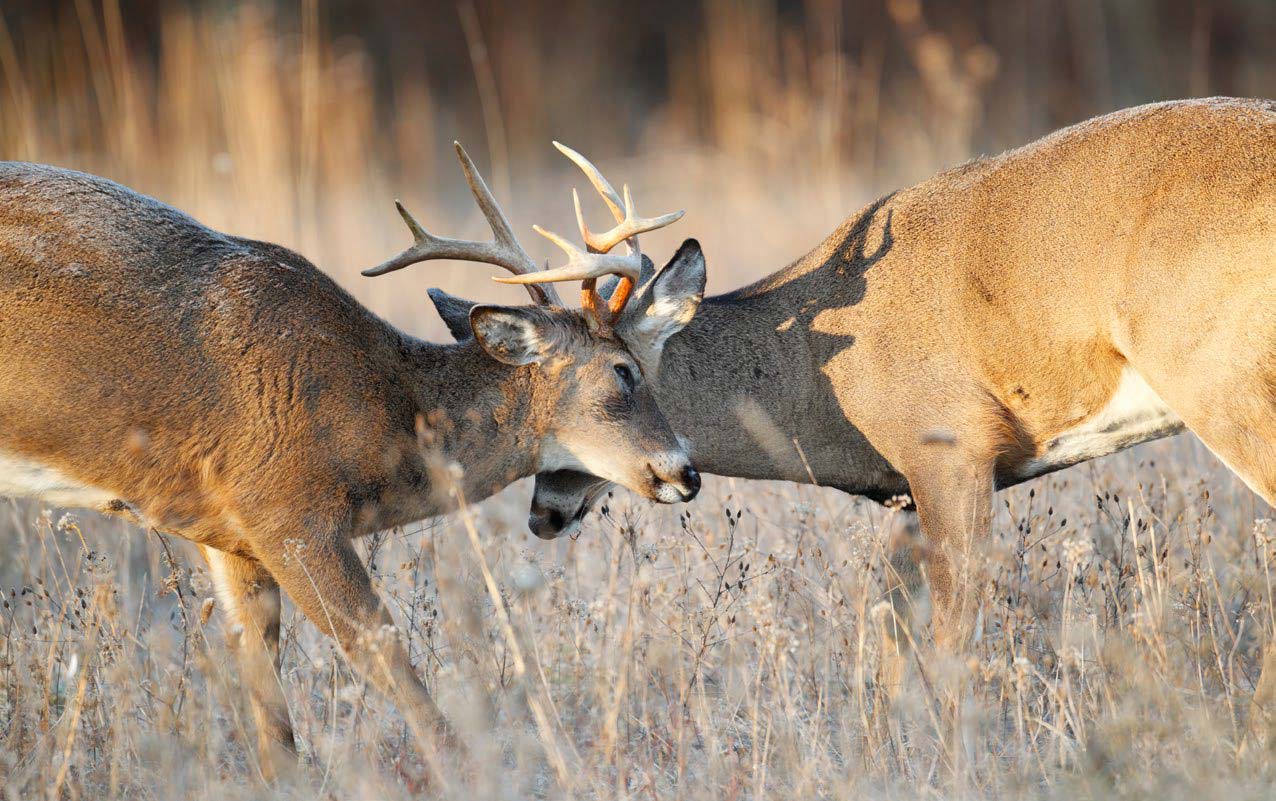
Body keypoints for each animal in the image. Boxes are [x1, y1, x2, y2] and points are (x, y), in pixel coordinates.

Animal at [0, 144, 704, 775]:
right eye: (624, 372)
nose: (685, 472)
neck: (384, 404)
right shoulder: (287, 513)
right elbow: (389, 663)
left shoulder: (231, 535)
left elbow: (272, 723)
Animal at [438, 98, 1276, 714]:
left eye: (619, 376)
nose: (543, 512)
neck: (818, 375)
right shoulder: (901, 494)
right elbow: (892, 650)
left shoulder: (950, 445)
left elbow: (950, 641)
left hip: (1219, 376)